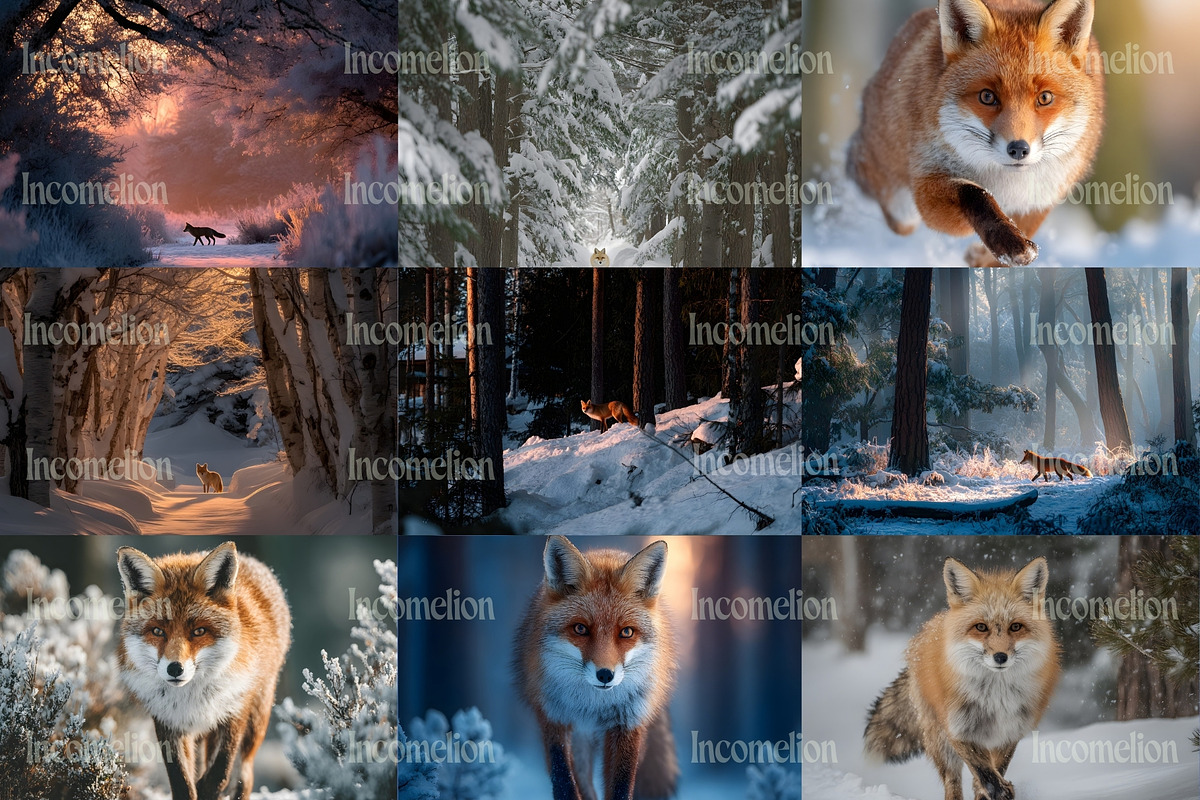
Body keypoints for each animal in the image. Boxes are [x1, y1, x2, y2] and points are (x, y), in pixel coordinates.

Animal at [117, 542, 291, 800]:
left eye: (199, 631)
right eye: (158, 631)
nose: (175, 668)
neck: (193, 698)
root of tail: (252, 561)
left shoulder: (233, 711)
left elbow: (218, 775)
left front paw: (208, 789)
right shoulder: (168, 722)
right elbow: (182, 782)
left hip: (256, 721)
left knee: (244, 775)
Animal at [515, 536, 679, 800]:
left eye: (626, 632)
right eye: (580, 629)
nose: (605, 675)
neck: (593, 704)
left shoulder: (628, 723)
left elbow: (621, 786)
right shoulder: (553, 716)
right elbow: (563, 781)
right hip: (580, 739)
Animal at [847, 0, 1105, 267]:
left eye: (1044, 98)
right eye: (987, 96)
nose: (1018, 149)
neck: (1005, 182)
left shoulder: (1044, 193)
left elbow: (1021, 227)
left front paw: (989, 255)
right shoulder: (929, 179)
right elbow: (976, 195)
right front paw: (1007, 242)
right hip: (898, 202)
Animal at [865, 557, 1060, 800]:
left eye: (1015, 627)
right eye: (981, 627)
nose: (1000, 657)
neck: (997, 698)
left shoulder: (1011, 730)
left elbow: (995, 769)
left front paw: (992, 791)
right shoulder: (957, 728)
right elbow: (983, 769)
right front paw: (999, 791)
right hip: (940, 741)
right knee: (953, 783)